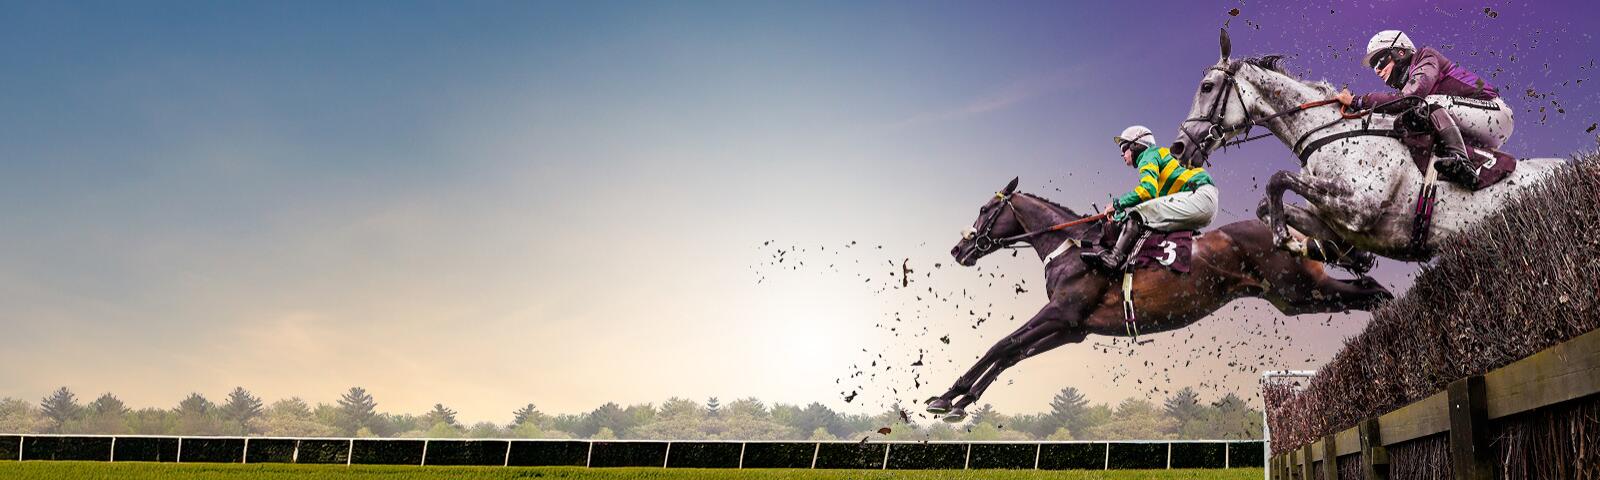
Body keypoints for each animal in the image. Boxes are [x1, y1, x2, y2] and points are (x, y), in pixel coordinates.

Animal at [926, 177, 1392, 422]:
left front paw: (947, 396)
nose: (958, 249)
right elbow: (1013, 354)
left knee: (1375, 292)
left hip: (1301, 288)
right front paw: (961, 402)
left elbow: (1001, 344)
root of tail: (1286, 230)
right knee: (1372, 293)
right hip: (1293, 299)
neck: (1074, 245)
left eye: (985, 209)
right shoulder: (1072, 328)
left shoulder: (1060, 312)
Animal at [1169, 29, 1566, 262]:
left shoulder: (1361, 206)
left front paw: (1284, 237)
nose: (1178, 148)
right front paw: (1312, 247)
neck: (1328, 135)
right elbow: (1267, 203)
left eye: (1207, 87)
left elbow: (1277, 179)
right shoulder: (1335, 220)